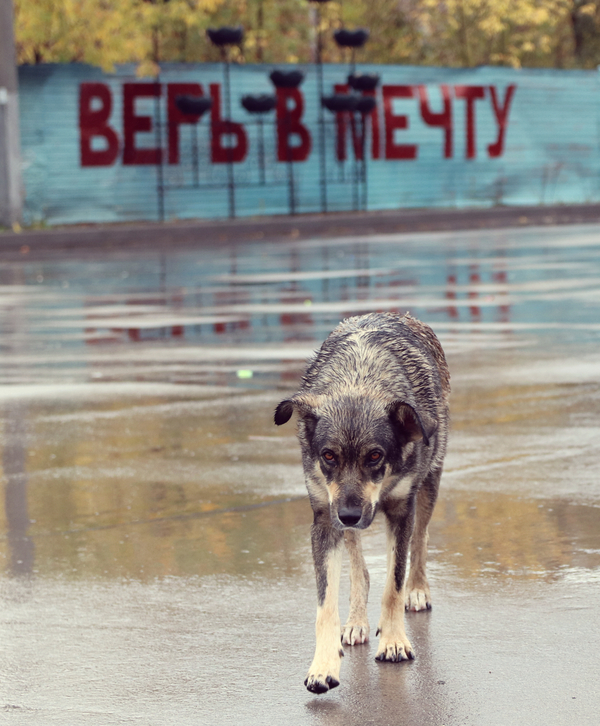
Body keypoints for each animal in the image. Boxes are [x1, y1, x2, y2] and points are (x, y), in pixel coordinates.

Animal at [274, 312, 448, 692]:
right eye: (328, 455)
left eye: (375, 455)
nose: (351, 515)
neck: (359, 380)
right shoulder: (326, 518)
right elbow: (325, 604)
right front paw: (323, 665)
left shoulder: (400, 510)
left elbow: (394, 584)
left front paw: (395, 641)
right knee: (360, 570)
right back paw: (356, 620)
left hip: (430, 484)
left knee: (420, 540)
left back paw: (418, 589)